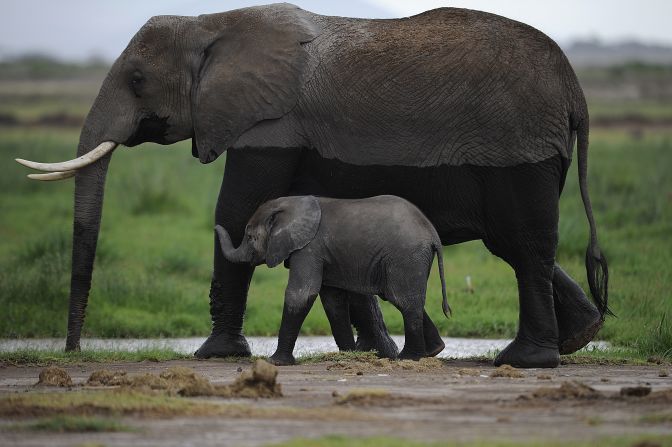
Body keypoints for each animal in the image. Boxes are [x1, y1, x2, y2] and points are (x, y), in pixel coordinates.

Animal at [218, 194, 448, 366]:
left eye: (250, 237)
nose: (216, 225)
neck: (290, 204)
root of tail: (433, 234)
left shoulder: (309, 248)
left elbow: (301, 294)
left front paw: (275, 363)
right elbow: (332, 301)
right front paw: (349, 355)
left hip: (405, 257)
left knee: (402, 299)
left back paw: (408, 358)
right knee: (402, 298)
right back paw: (433, 351)